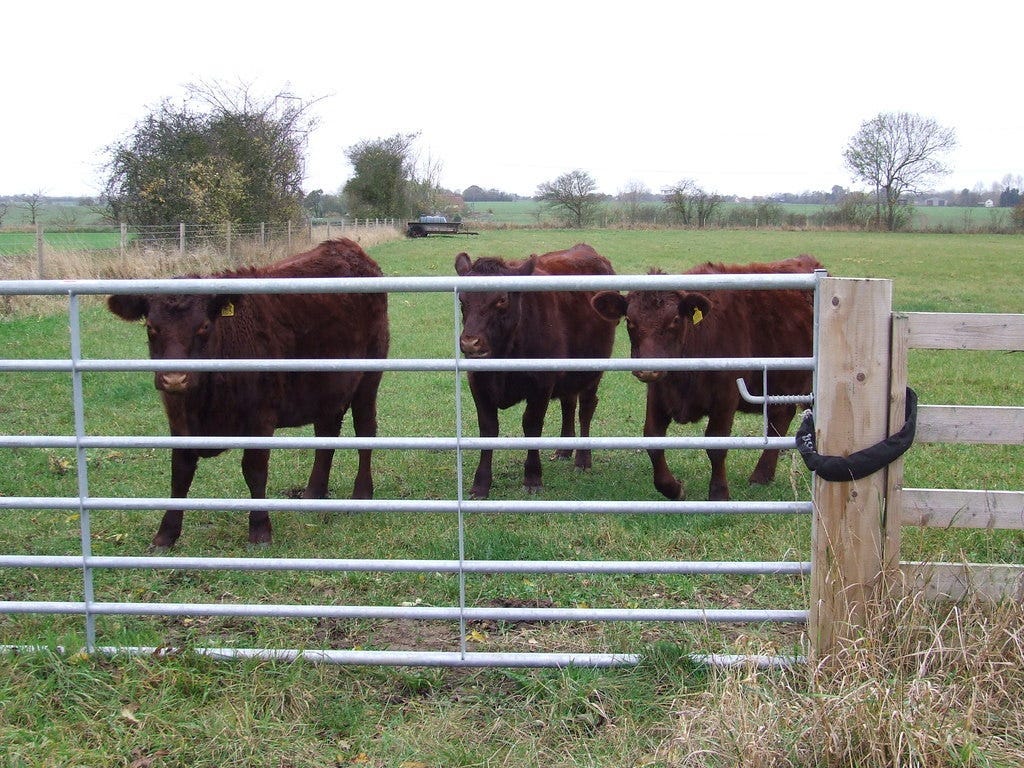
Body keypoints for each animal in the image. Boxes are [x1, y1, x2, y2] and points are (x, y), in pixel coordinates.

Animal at [107, 238, 390, 549]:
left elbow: (254, 469)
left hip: (368, 379)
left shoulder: (260, 416)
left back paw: (361, 495)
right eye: (151, 327)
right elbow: (180, 471)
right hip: (327, 388)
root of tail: (347, 247)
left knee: (365, 430)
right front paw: (166, 534)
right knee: (326, 434)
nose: (174, 378)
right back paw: (313, 494)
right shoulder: (178, 420)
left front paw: (259, 529)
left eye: (204, 326)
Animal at [454, 243, 619, 499]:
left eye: (502, 299)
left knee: (586, 408)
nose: (470, 343)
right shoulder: (478, 382)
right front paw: (481, 484)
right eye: (462, 299)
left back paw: (582, 459)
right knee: (568, 404)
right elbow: (488, 428)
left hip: (593, 369)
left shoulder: (541, 383)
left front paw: (532, 477)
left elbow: (531, 425)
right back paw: (564, 450)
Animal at [591, 254, 821, 502]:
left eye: (674, 320)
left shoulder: (726, 396)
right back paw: (762, 475)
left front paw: (719, 493)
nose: (648, 370)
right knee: (781, 418)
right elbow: (653, 438)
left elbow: (716, 444)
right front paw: (673, 489)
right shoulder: (658, 393)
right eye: (630, 322)